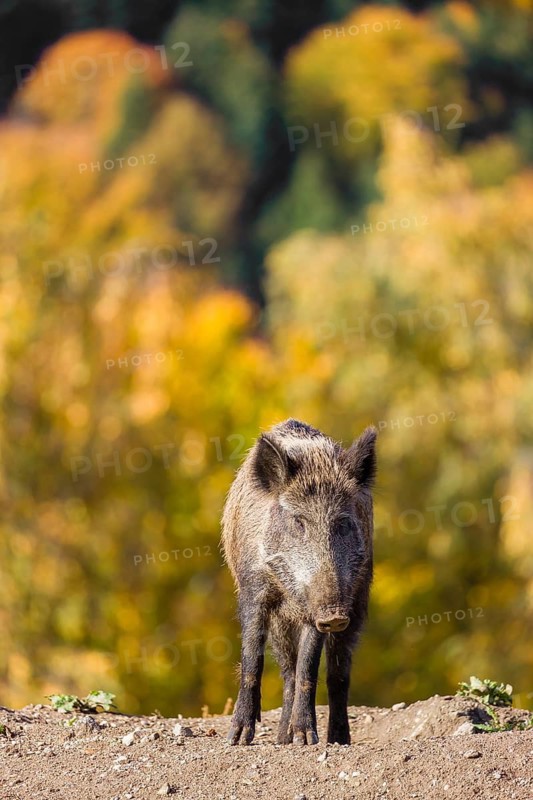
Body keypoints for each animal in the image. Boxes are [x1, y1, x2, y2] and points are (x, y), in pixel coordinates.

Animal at [221, 418, 377, 746]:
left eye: (343, 523)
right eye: (298, 522)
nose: (334, 614)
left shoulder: (317, 610)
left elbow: (310, 665)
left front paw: (306, 739)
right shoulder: (254, 590)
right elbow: (252, 658)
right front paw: (237, 739)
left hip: (357, 600)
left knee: (337, 674)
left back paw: (336, 740)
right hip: (281, 625)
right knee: (287, 669)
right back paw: (282, 738)